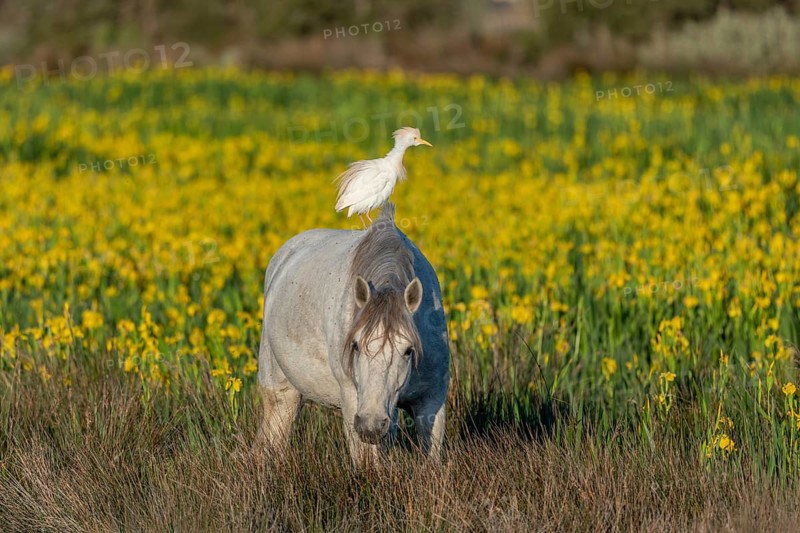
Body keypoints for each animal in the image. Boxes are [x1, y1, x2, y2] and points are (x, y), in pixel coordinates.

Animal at [255, 204, 450, 464]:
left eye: (408, 350)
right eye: (355, 345)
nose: (370, 426)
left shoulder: (431, 402)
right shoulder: (353, 401)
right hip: (281, 393)